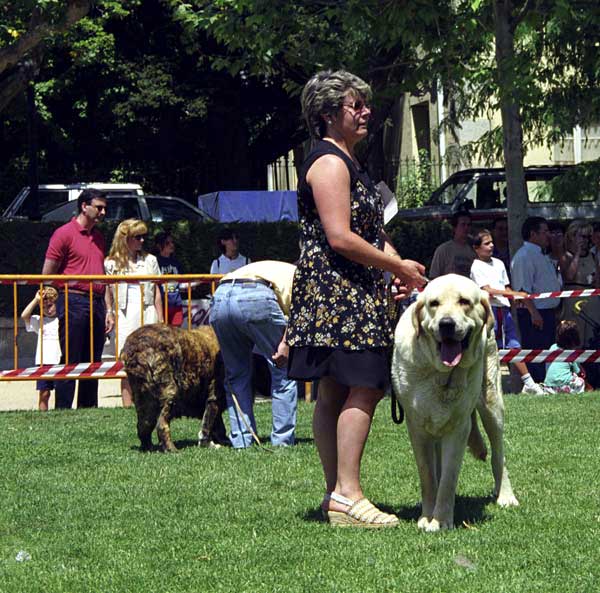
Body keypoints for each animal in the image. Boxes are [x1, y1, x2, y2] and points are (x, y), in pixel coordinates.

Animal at [120, 322, 229, 450]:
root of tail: (136, 348)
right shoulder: (215, 397)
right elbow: (209, 422)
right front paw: (209, 443)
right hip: (169, 393)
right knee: (161, 425)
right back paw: (172, 449)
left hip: (142, 399)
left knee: (143, 426)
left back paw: (149, 447)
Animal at [392, 274, 516, 532]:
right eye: (434, 304)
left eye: (464, 302)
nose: (446, 324)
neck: (443, 375)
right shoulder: (418, 428)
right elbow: (428, 476)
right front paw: (427, 517)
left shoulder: (458, 429)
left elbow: (448, 478)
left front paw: (440, 521)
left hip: (491, 403)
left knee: (499, 454)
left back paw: (505, 496)